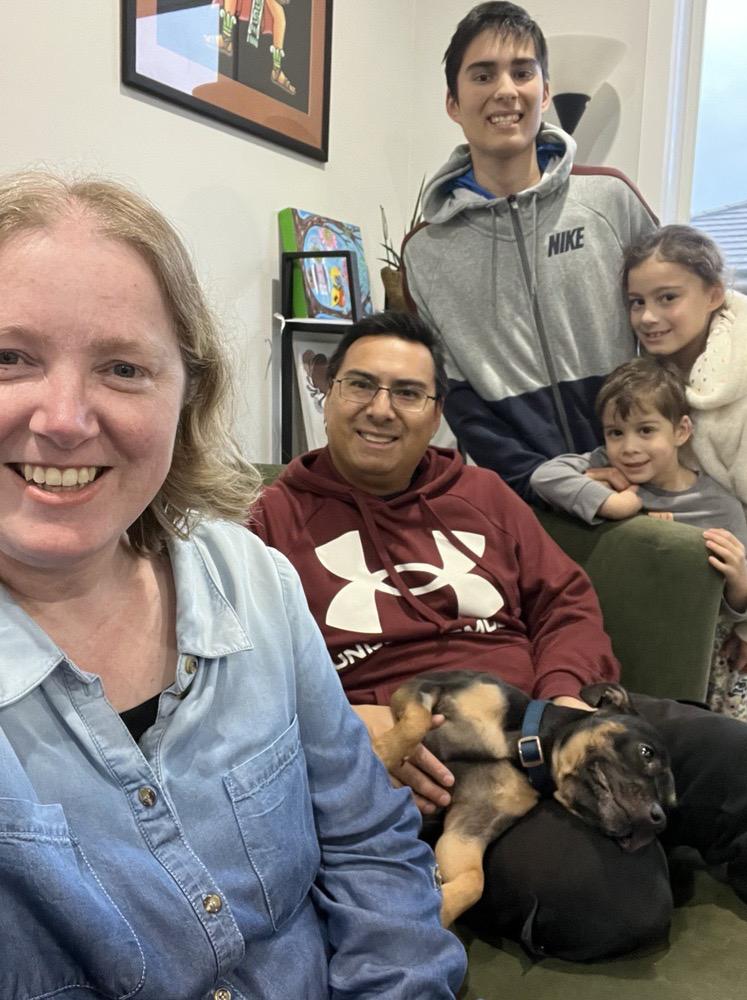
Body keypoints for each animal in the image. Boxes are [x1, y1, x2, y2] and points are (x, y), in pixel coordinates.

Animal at [374, 672, 676, 928]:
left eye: (669, 801)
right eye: (646, 753)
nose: (658, 820)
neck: (521, 748)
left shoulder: (468, 830)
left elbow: (474, 881)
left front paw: (442, 912)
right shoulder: (422, 687)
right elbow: (416, 723)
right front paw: (382, 752)